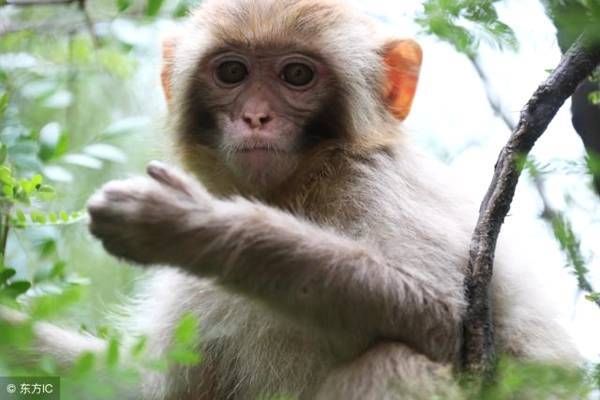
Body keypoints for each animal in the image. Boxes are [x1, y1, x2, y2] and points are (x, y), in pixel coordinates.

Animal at [0, 0, 580, 398]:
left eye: (296, 75)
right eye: (232, 72)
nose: (256, 117)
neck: (304, 184)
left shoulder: (382, 185)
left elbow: (449, 321)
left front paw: (194, 227)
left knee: (396, 359)